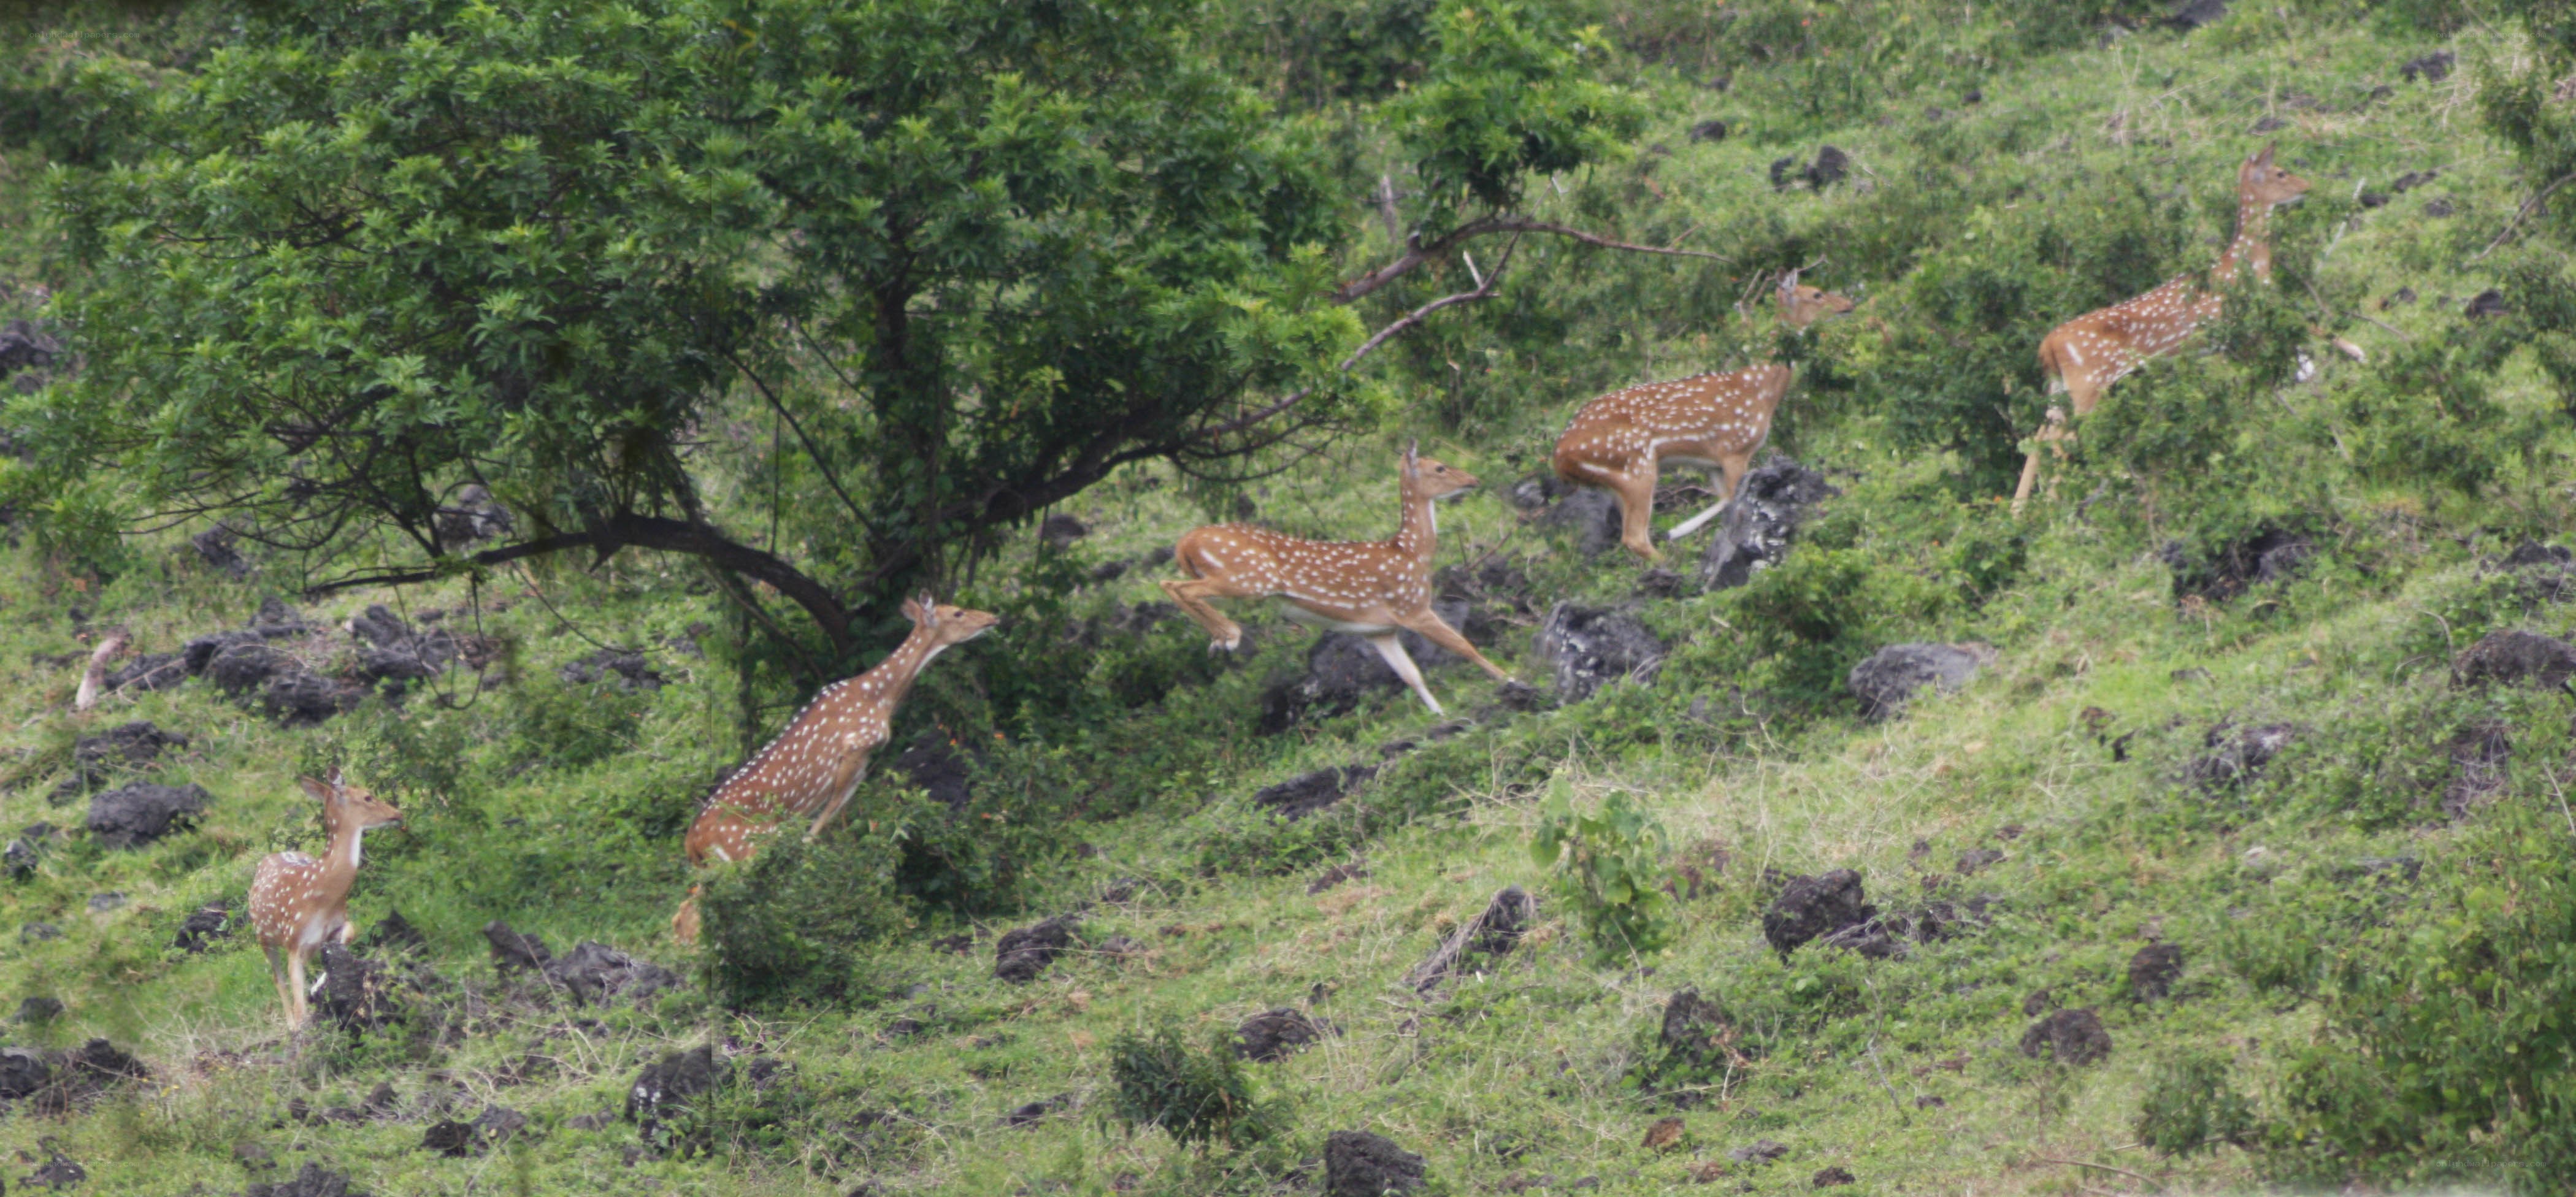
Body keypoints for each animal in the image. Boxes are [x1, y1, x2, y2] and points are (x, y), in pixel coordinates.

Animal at [247, 769, 402, 1032]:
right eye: (367, 796)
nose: (397, 813)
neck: (321, 896)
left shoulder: (337, 924)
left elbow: (346, 937)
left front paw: (319, 986)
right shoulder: (293, 939)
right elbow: (299, 1006)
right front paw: (301, 1028)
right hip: (263, 936)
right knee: (277, 979)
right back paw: (291, 1026)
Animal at [672, 594, 999, 944]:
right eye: (958, 612)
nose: (993, 618)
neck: (880, 700)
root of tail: (691, 843)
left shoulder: (861, 768)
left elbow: (840, 821)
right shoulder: (853, 750)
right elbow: (821, 825)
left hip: (715, 865)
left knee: (686, 908)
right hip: (745, 849)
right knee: (698, 908)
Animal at [1158, 442, 1509, 717]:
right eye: (1439, 467)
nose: (1474, 479)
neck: (1412, 554)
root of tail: (1184, 543)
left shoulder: (1380, 630)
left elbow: (1411, 674)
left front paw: (1440, 712)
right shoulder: (1411, 606)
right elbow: (1463, 646)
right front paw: (1509, 679)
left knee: (1171, 586)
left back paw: (1219, 638)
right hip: (1250, 579)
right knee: (1178, 587)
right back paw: (1229, 635)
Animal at [1549, 271, 1854, 562]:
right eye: (1817, 294)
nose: (1849, 305)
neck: (1760, 390)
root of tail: (1560, 455)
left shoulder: (1713, 463)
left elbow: (1727, 498)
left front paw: (1679, 530)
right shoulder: (1735, 448)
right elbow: (1736, 498)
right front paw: (1680, 531)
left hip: (1618, 480)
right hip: (1635, 466)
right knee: (1635, 537)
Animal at [2013, 143, 2311, 512]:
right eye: (2281, 172)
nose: (2307, 186)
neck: (2248, 265)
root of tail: (2048, 344)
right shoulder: (2236, 330)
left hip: (2059, 386)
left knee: (2040, 437)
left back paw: (2020, 512)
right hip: (2089, 383)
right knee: (2061, 440)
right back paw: (2059, 507)